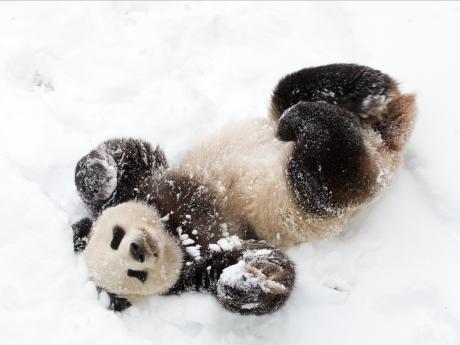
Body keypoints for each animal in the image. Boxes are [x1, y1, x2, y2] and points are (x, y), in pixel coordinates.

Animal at [71, 62, 414, 314]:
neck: (173, 229)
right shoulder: (200, 262)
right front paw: (248, 280)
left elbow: (130, 154)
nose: (138, 250)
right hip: (314, 196)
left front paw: (99, 176)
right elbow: (264, 265)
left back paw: (364, 95)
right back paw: (316, 120)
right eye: (135, 274)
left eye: (115, 237)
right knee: (329, 168)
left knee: (296, 88)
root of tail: (384, 142)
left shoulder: (148, 186)